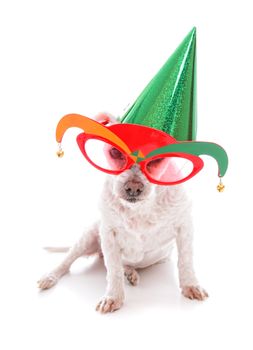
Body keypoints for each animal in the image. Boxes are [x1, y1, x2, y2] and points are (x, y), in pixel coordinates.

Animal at [37, 116, 208, 314]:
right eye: (115, 152)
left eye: (157, 159)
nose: (133, 188)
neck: (140, 209)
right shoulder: (108, 233)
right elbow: (113, 270)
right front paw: (114, 297)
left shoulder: (184, 226)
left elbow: (186, 261)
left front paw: (190, 285)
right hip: (87, 238)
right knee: (66, 262)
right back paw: (50, 276)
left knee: (125, 264)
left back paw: (130, 272)